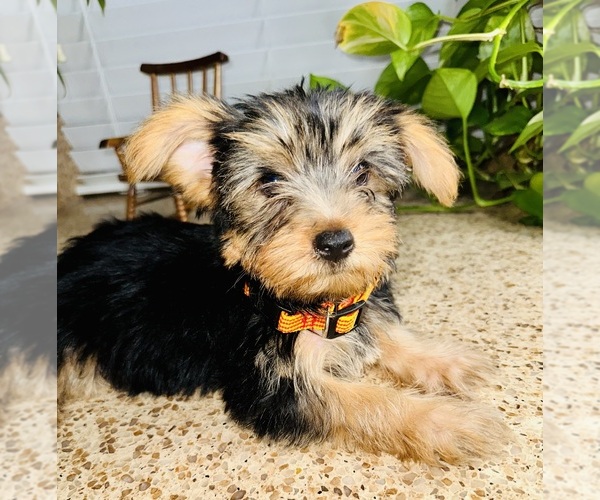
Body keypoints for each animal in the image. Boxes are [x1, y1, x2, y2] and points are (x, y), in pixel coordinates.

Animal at [57, 86, 506, 464]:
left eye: (362, 171)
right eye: (269, 180)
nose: (336, 242)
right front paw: (452, 422)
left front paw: (449, 361)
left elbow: (385, 333)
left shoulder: (358, 313)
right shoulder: (273, 386)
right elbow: (366, 401)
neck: (311, 303)